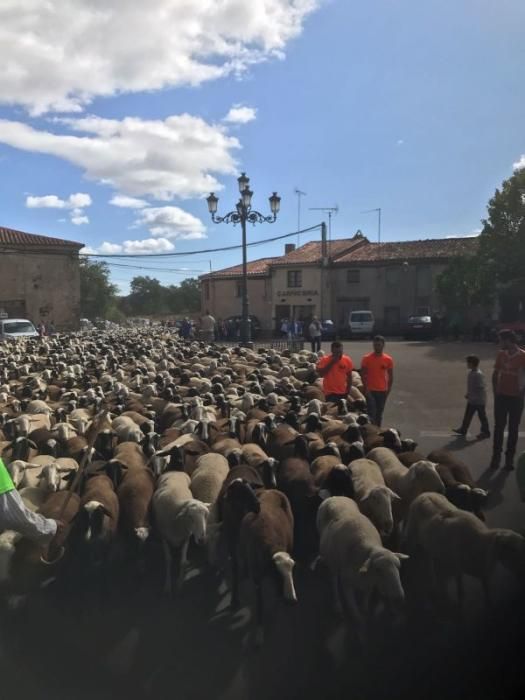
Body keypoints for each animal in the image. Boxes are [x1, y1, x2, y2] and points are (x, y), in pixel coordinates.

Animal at [318, 492, 408, 640]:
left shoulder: (370, 583)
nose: (399, 597)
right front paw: (361, 632)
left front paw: (365, 610)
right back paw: (337, 605)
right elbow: (356, 615)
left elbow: (366, 600)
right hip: (331, 559)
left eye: (398, 567)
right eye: (378, 569)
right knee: (333, 579)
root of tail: (335, 497)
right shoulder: (347, 585)